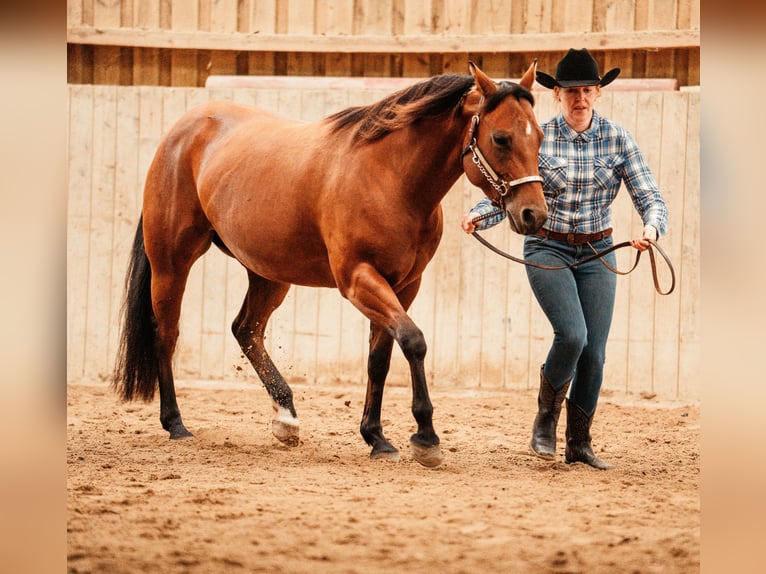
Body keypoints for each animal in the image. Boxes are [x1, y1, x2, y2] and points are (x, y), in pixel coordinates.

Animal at [113, 61, 547, 468]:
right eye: (501, 138)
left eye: (540, 138)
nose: (534, 215)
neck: (390, 178)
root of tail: (182, 130)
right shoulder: (359, 279)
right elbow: (414, 341)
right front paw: (425, 438)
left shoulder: (404, 286)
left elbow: (380, 359)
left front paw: (377, 437)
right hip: (172, 264)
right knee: (166, 334)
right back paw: (175, 423)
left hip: (269, 274)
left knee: (246, 329)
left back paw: (286, 418)